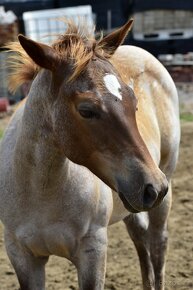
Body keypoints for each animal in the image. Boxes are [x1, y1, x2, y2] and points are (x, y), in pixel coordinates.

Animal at [0, 19, 181, 288]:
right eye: (86, 110)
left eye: (134, 102)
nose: (153, 187)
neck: (41, 192)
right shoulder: (22, 257)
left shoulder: (93, 252)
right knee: (140, 237)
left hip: (163, 188)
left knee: (158, 245)